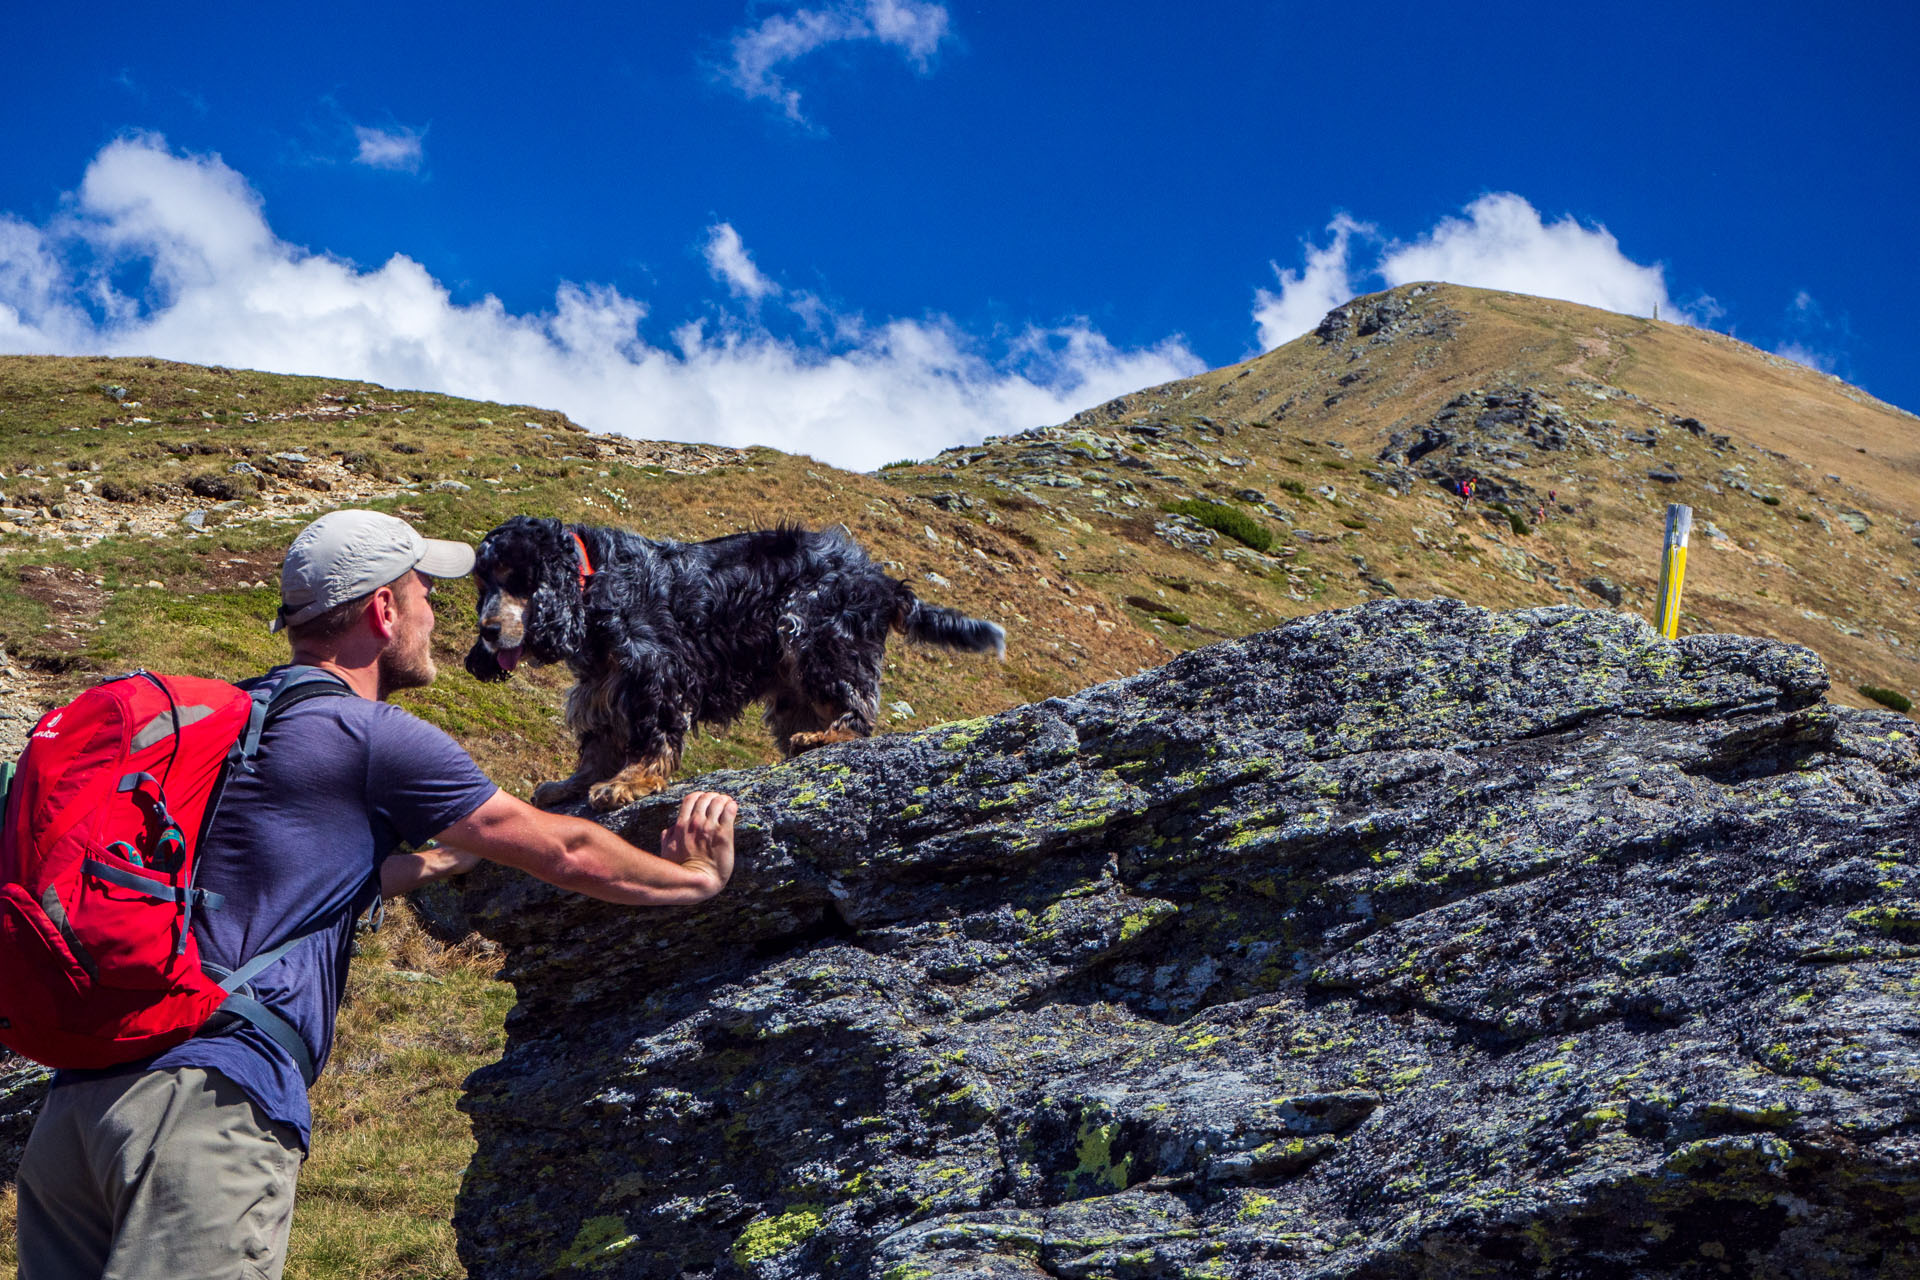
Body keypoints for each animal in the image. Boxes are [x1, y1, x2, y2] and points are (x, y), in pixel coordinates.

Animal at [468, 514, 1006, 805]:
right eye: (483, 582)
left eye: (515, 578)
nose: (488, 632)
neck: (591, 576)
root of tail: (881, 580)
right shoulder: (604, 683)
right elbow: (598, 741)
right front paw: (573, 784)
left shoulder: (653, 672)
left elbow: (650, 736)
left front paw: (630, 782)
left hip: (812, 630)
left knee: (857, 706)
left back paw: (825, 737)